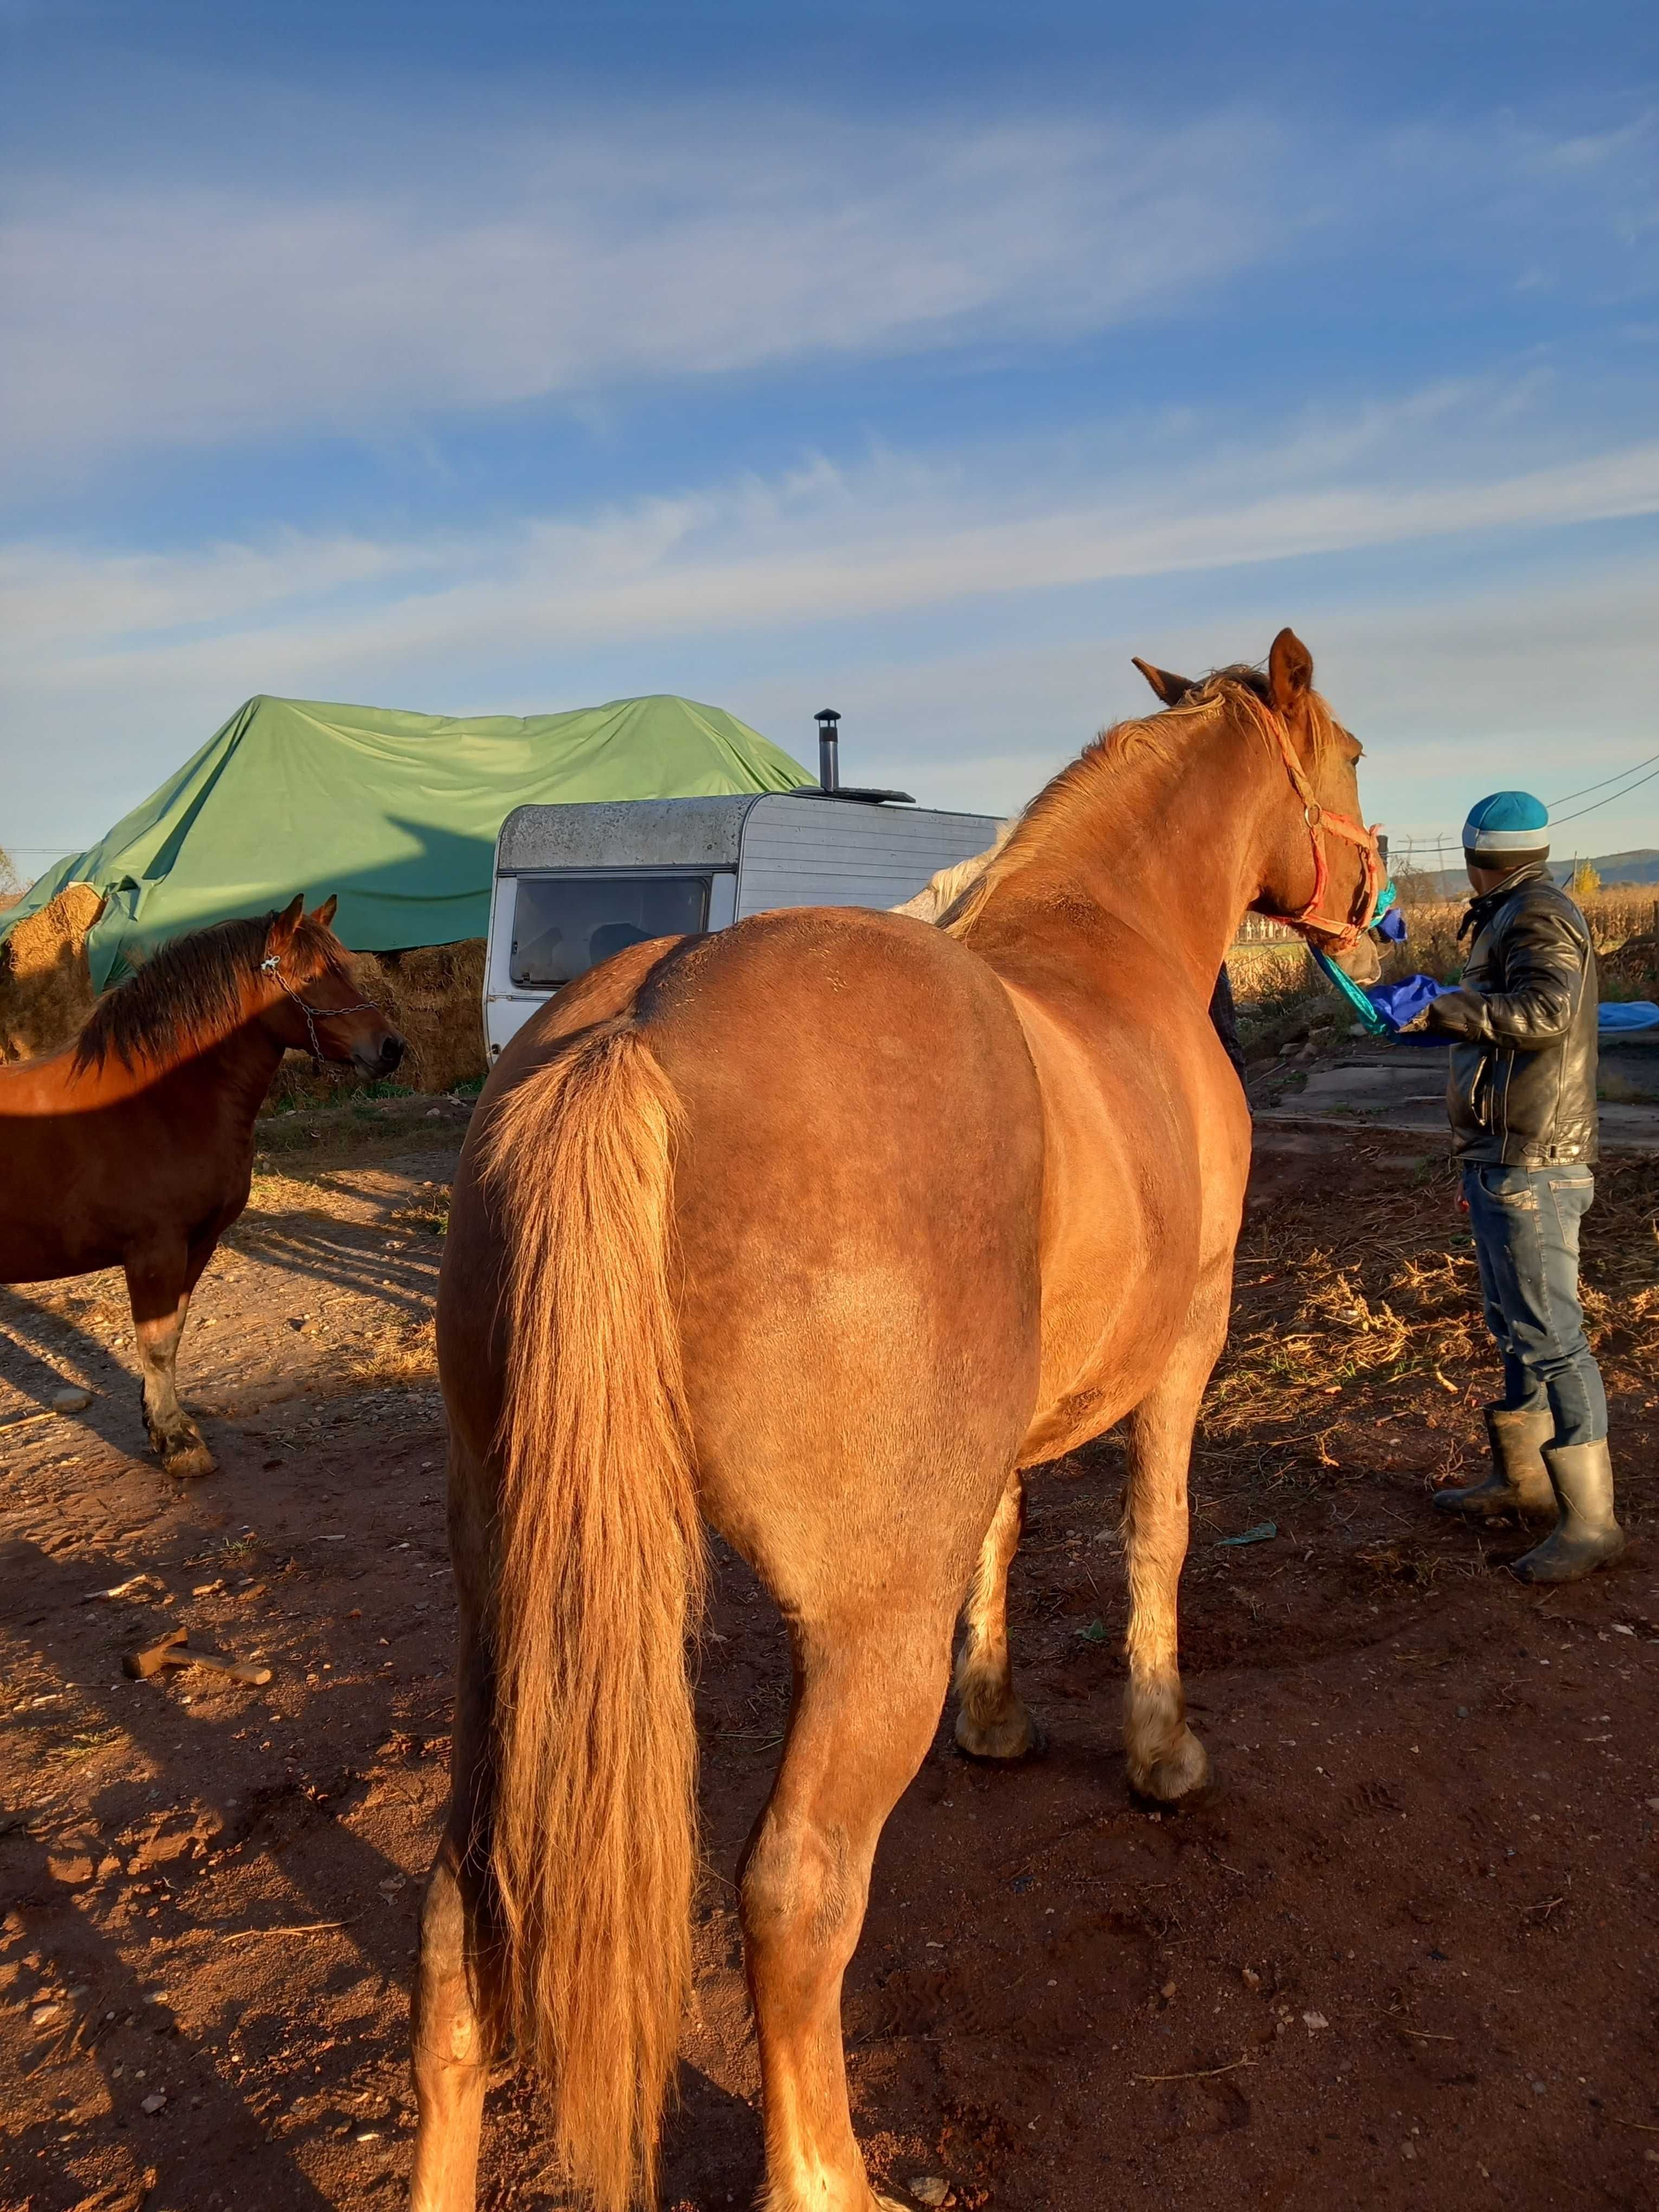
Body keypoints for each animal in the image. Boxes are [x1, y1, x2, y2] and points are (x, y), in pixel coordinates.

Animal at [1, 889, 402, 1477]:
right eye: (313, 976)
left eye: (347, 968)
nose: (392, 1048)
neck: (157, 1102)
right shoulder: (155, 1251)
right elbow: (156, 1344)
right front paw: (178, 1444)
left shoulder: (198, 1245)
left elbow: (173, 1336)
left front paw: (164, 1426)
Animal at [416, 628, 1389, 2212]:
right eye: (1350, 756)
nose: (1374, 917)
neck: (1113, 950)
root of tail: (635, 1031)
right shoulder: (1188, 1349)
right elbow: (1156, 1541)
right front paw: (1162, 1753)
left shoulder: (993, 1442)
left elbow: (1001, 1535)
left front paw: (994, 1718)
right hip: (860, 1635)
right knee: (795, 1893)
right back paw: (829, 2175)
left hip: (508, 1608)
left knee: (459, 1909)